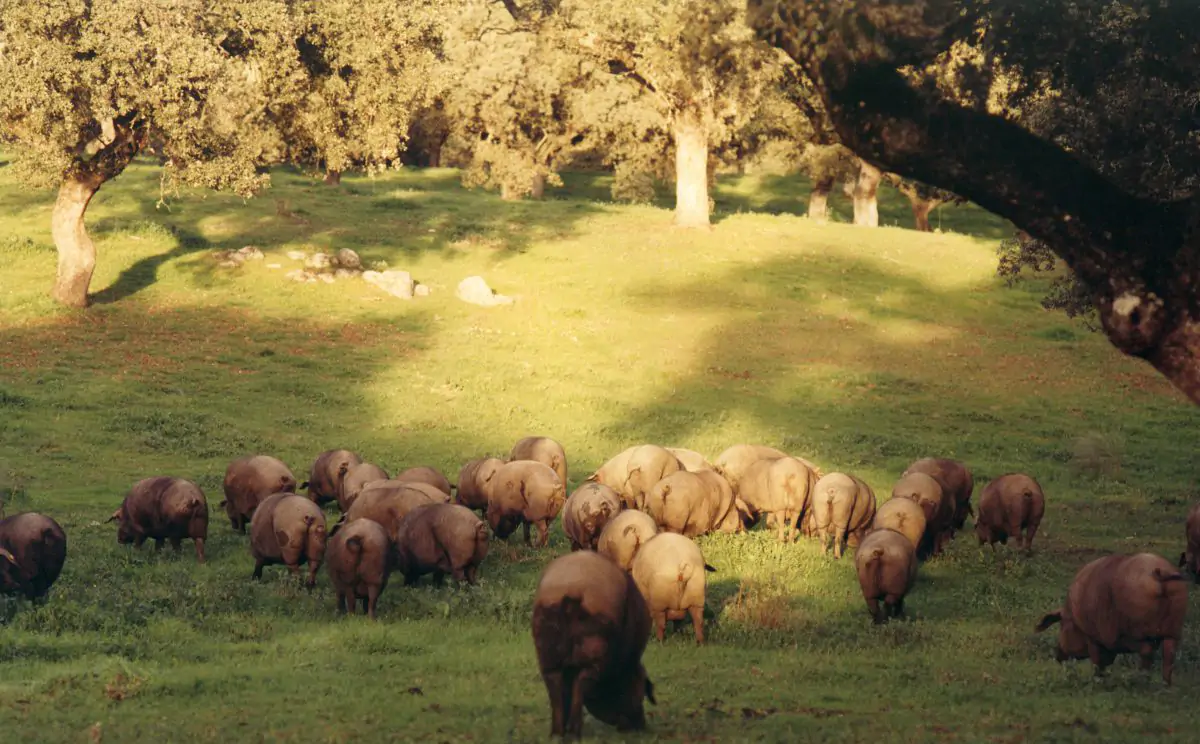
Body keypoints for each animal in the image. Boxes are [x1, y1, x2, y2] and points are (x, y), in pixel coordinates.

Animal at [532, 549, 657, 734]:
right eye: (641, 693)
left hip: (547, 650)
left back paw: (557, 733)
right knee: (582, 682)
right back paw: (574, 732)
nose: (641, 725)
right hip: (594, 647)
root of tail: (572, 589)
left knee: (554, 683)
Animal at [1032, 552, 1190, 686]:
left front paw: (1097, 680)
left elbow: (1097, 660)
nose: (1058, 656)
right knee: (1169, 655)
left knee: (1147, 651)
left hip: (1139, 629)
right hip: (1174, 628)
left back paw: (1142, 680)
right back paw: (1165, 685)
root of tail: (1159, 573)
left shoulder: (1092, 636)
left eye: (1062, 624)